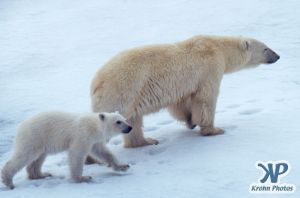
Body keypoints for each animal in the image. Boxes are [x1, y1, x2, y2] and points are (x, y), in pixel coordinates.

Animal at [0, 111, 131, 189]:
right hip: (34, 137)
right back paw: (9, 182)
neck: (94, 126)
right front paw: (83, 178)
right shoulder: (82, 136)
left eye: (125, 119)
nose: (130, 127)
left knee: (38, 158)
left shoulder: (94, 140)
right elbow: (77, 154)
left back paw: (42, 174)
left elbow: (103, 152)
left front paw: (123, 166)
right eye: (118, 121)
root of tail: (21, 126)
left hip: (41, 142)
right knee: (24, 155)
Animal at [90, 35, 280, 147]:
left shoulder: (184, 84)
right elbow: (206, 98)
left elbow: (181, 103)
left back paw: (147, 141)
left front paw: (190, 121)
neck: (217, 47)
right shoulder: (209, 69)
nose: (277, 56)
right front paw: (214, 130)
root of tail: (96, 83)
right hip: (123, 92)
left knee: (134, 122)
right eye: (265, 48)